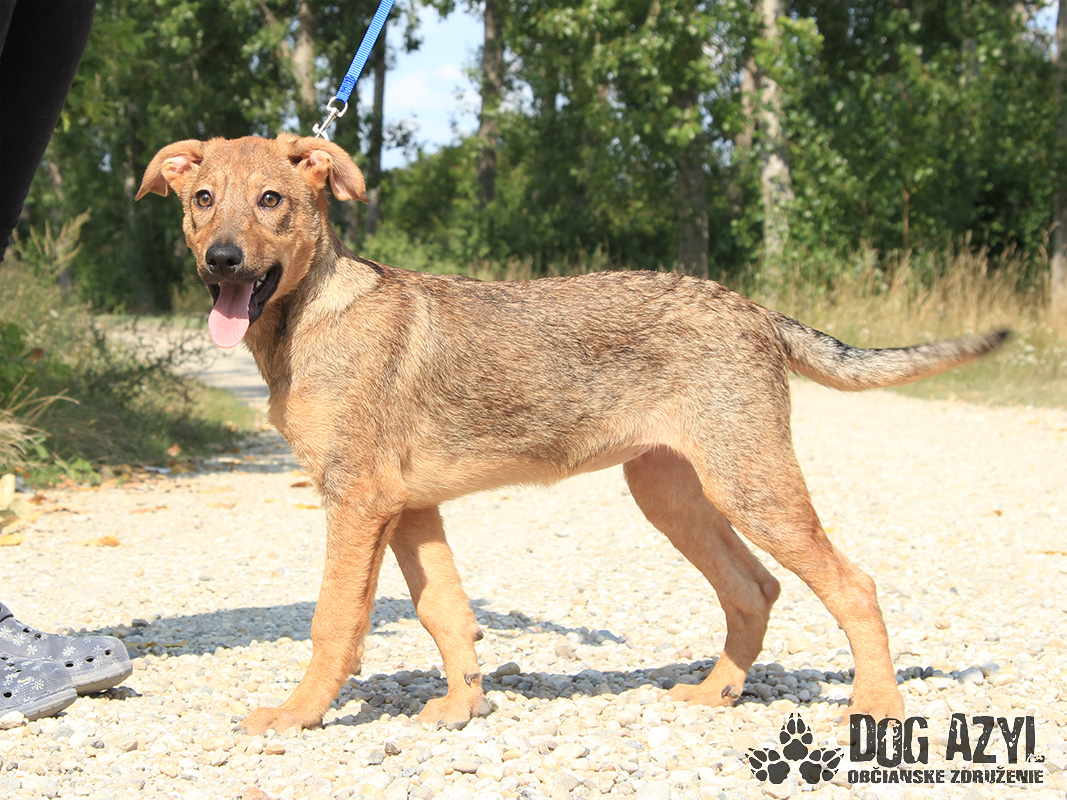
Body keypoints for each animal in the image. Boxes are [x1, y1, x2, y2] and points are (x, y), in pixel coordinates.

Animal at [137, 134, 1007, 735]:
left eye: (272, 200)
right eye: (203, 197)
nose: (222, 263)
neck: (309, 316)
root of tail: (752, 308)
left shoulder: (357, 502)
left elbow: (333, 623)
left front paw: (298, 714)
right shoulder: (409, 509)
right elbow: (444, 610)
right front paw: (462, 708)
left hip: (750, 486)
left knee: (852, 585)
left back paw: (877, 708)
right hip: (673, 495)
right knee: (753, 588)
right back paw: (715, 692)